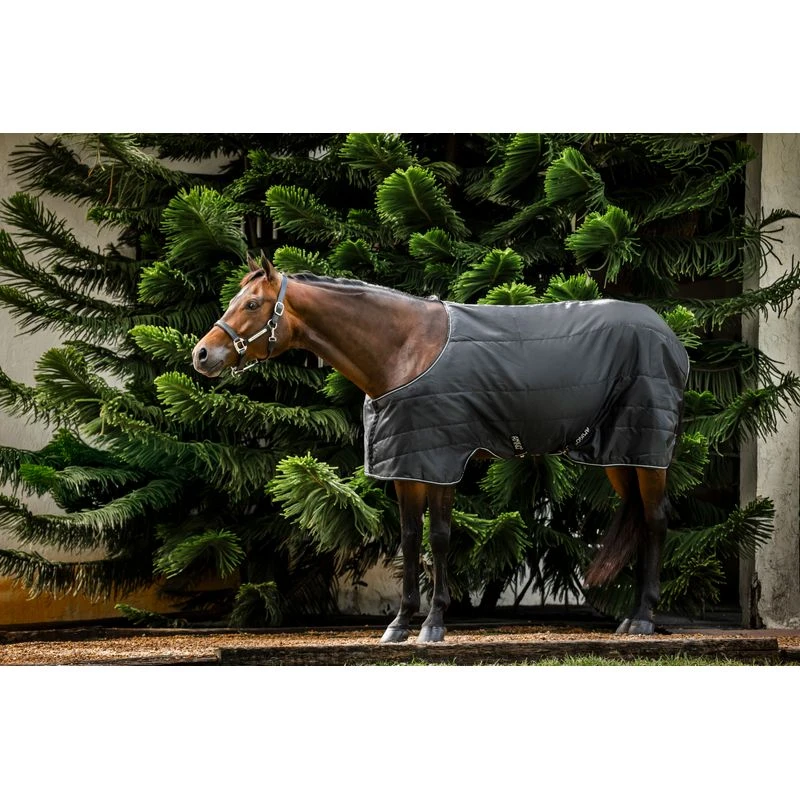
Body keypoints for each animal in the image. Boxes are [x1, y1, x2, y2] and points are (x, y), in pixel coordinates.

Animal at [192, 254, 689, 642]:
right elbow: (411, 539)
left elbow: (440, 538)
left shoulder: (442, 460)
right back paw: (632, 616)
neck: (403, 350)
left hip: (646, 450)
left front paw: (433, 624)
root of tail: (670, 336)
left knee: (656, 518)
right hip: (621, 454)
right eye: (234, 301)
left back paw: (642, 619)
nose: (202, 355)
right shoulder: (408, 465)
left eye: (252, 304)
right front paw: (399, 624)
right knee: (640, 518)